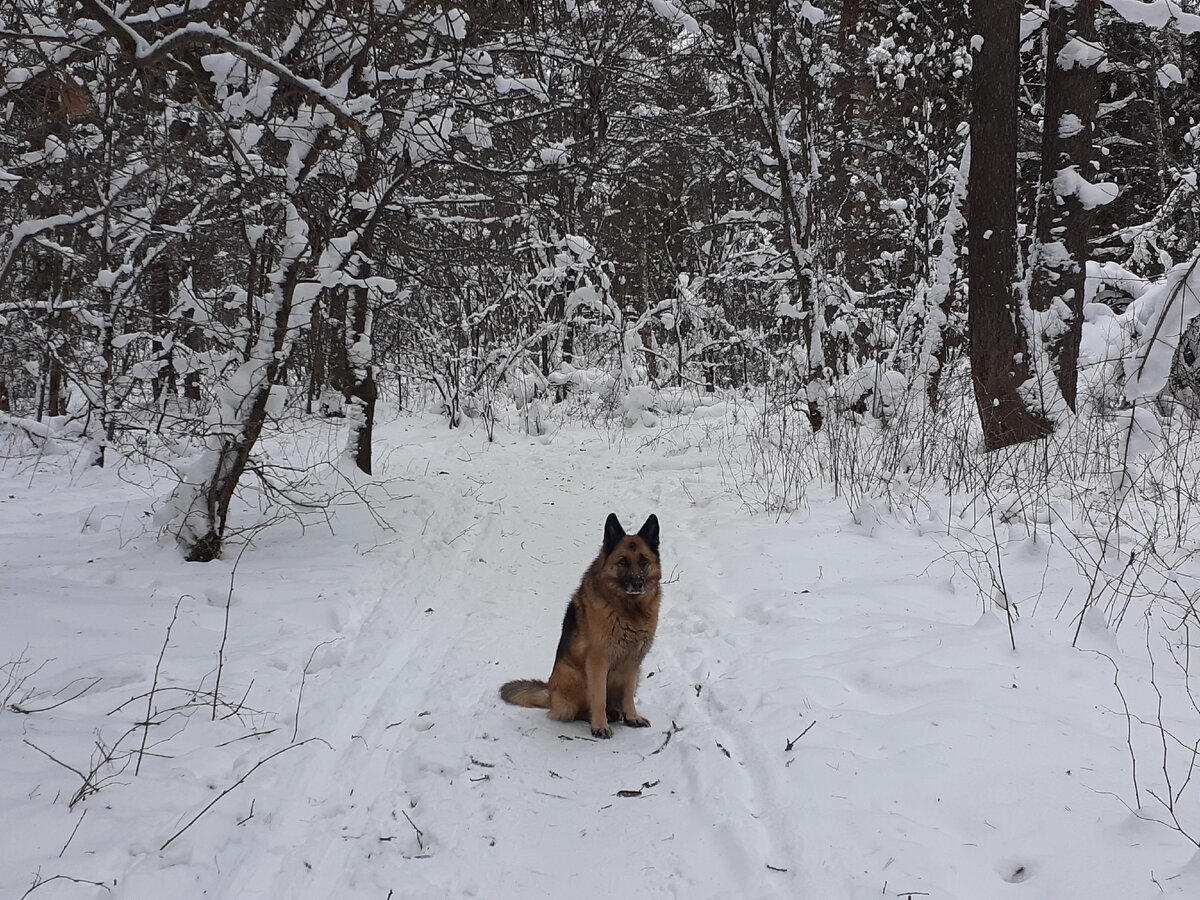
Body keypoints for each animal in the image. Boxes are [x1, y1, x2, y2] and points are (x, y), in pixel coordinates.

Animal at [499, 513, 662, 739]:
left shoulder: (633, 663)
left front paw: (632, 717)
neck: (629, 609)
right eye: (622, 562)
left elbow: (628, 695)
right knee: (576, 710)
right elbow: (599, 699)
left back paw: (617, 712)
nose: (638, 584)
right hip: (577, 676)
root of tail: (550, 695)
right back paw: (599, 716)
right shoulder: (598, 662)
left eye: (644, 561)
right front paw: (600, 725)